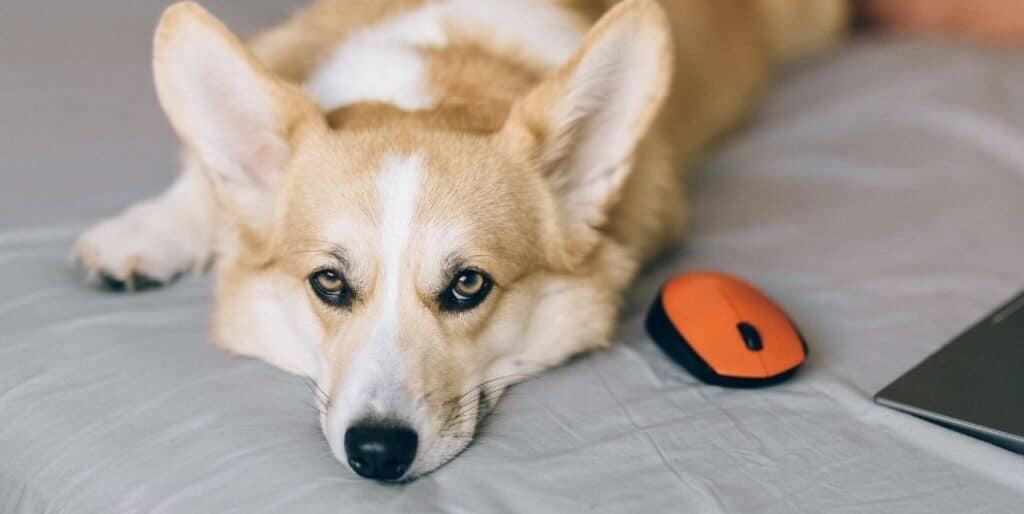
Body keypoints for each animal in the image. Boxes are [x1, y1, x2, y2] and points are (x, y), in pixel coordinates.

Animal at [70, 0, 839, 481]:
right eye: (329, 282)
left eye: (468, 284)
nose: (377, 454)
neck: (437, 73)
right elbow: (201, 183)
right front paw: (143, 233)